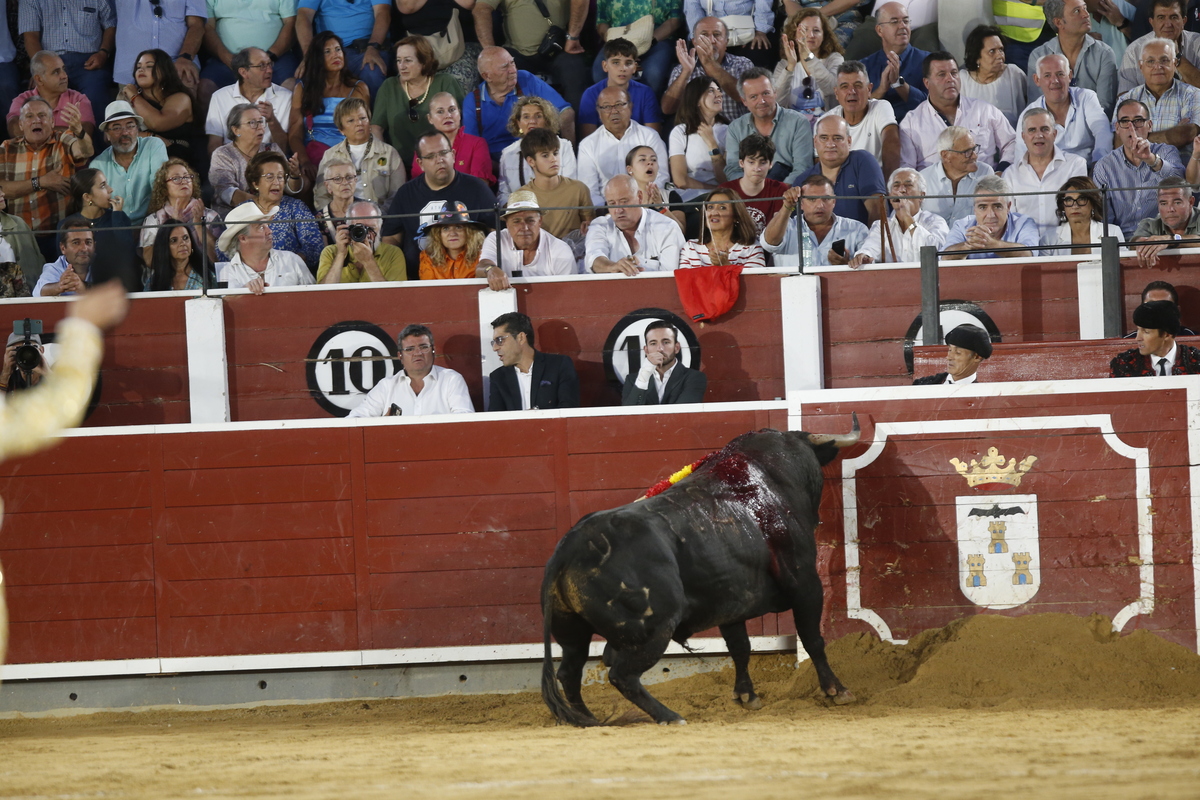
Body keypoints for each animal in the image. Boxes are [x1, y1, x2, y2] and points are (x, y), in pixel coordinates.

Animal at [540, 422, 859, 729]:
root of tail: (569, 547)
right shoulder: (806, 583)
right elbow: (812, 638)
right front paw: (837, 690)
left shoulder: (731, 600)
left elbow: (740, 647)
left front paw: (746, 695)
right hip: (654, 628)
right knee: (621, 675)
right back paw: (669, 715)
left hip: (573, 633)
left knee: (569, 672)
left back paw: (586, 718)